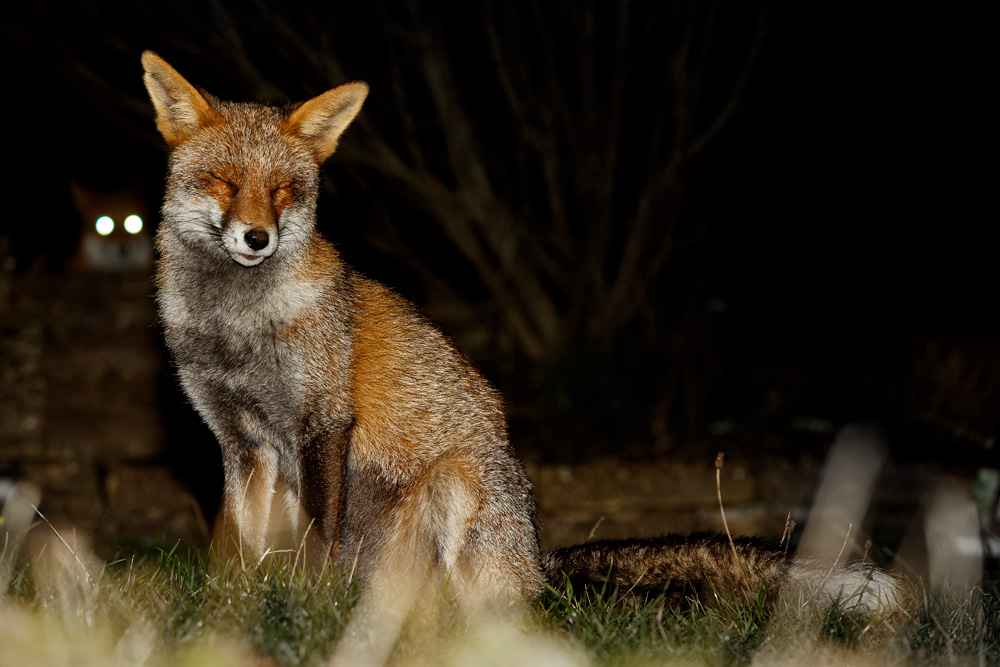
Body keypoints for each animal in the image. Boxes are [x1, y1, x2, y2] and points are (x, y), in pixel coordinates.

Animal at [141, 51, 900, 634]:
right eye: (223, 183)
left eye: (283, 191)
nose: (257, 238)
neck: (236, 332)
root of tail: (538, 561)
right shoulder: (241, 443)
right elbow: (236, 547)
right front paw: (231, 615)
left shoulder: (322, 420)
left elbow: (317, 537)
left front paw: (311, 606)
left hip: (457, 483)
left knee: (488, 609)